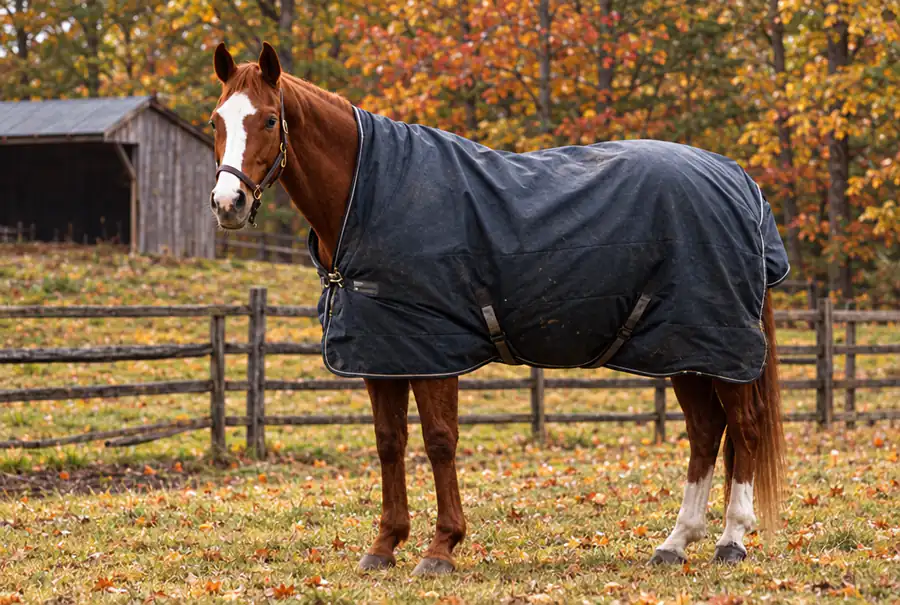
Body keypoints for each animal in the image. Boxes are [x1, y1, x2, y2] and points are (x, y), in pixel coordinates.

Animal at [207, 42, 787, 576]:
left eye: (270, 119)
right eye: (216, 120)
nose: (228, 203)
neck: (370, 198)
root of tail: (741, 184)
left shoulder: (434, 352)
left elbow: (440, 442)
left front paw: (441, 549)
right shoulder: (382, 353)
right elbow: (389, 443)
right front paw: (384, 546)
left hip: (720, 350)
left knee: (745, 427)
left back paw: (731, 540)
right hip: (684, 350)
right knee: (706, 432)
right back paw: (675, 543)